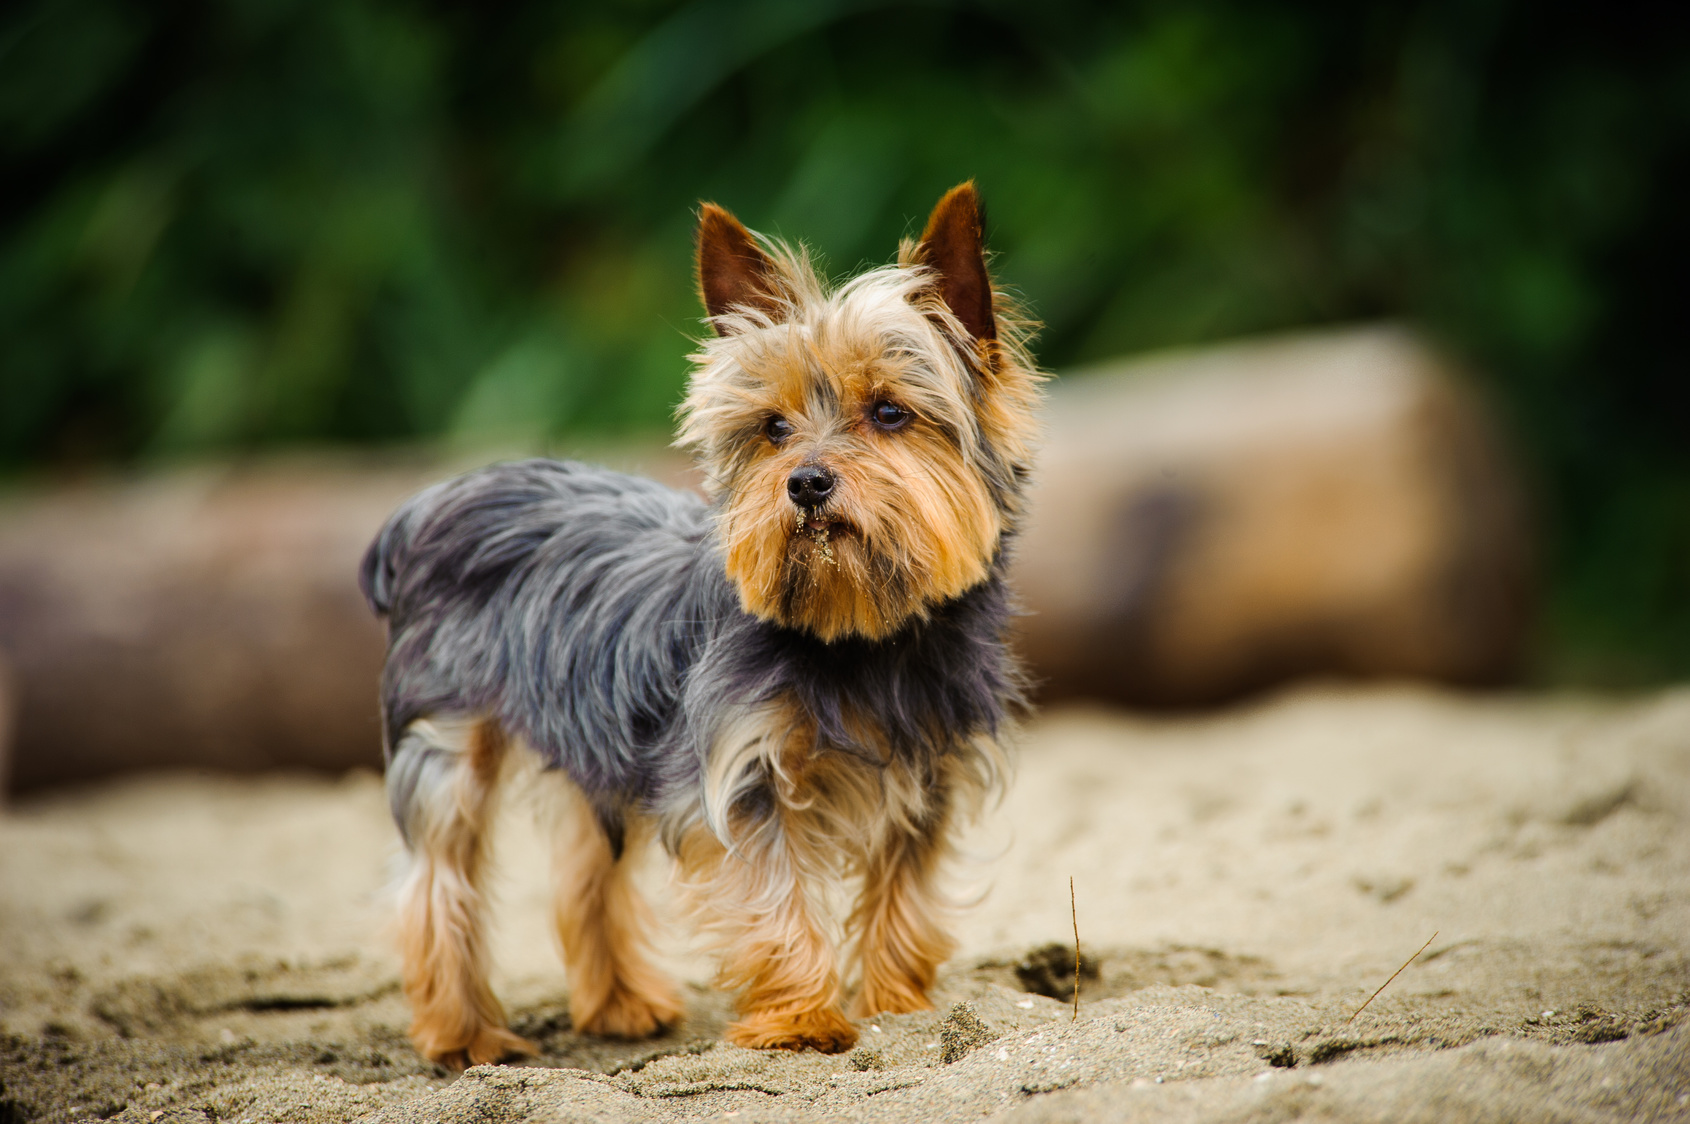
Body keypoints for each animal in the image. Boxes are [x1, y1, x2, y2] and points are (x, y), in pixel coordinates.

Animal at [361, 180, 1041, 1068]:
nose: (806, 482)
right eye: (773, 428)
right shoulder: (742, 774)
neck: (860, 636)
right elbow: (775, 897)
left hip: (592, 732)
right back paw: (465, 1034)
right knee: (436, 881)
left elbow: (906, 896)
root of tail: (429, 503)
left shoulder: (929, 774)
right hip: (449, 738)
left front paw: (900, 1004)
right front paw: (801, 1020)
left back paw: (618, 1006)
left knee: (586, 872)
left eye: (890, 413)